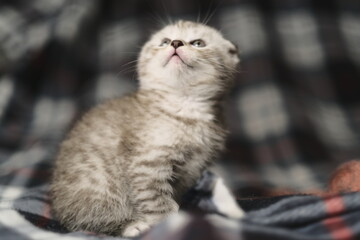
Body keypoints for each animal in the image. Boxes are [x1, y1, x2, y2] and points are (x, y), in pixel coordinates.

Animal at [47, 21, 239, 238]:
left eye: (198, 43)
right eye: (164, 41)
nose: (176, 43)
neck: (185, 106)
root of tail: (58, 209)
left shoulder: (193, 168)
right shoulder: (146, 163)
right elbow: (155, 199)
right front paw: (167, 222)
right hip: (97, 191)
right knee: (91, 221)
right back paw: (132, 226)